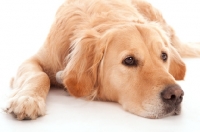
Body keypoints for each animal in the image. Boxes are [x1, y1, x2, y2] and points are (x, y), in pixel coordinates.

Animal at [5, 0, 200, 119]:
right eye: (129, 60)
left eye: (164, 56)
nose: (176, 95)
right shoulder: (35, 59)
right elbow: (40, 76)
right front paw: (27, 99)